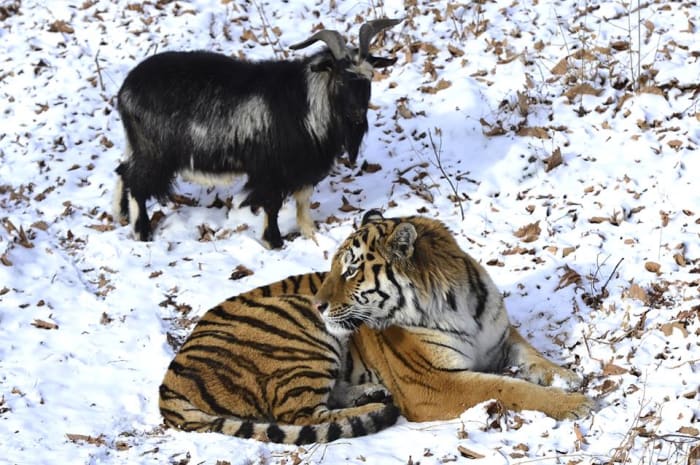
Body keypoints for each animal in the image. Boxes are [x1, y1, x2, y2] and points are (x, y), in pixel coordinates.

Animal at [112, 20, 402, 248]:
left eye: (370, 77)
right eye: (341, 77)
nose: (357, 115)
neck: (306, 103)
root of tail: (125, 89)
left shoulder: (302, 169)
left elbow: (303, 201)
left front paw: (311, 233)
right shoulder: (272, 170)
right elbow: (272, 205)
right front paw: (273, 241)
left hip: (138, 146)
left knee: (123, 170)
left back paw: (121, 215)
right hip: (154, 152)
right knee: (137, 182)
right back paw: (141, 232)